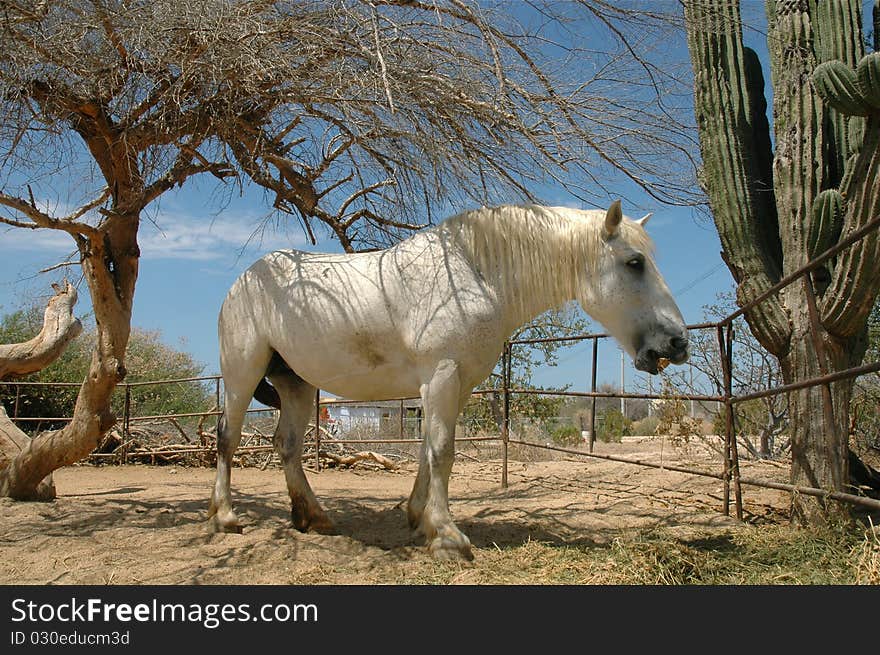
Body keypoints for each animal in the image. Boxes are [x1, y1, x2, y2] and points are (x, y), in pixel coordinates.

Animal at [208, 200, 688, 560]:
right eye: (634, 262)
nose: (677, 343)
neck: (474, 276)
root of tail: (243, 282)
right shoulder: (442, 376)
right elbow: (442, 452)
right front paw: (447, 537)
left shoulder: (457, 383)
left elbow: (431, 450)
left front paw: (420, 519)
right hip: (241, 374)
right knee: (228, 438)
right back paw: (225, 517)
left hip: (298, 384)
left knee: (287, 445)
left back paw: (312, 516)